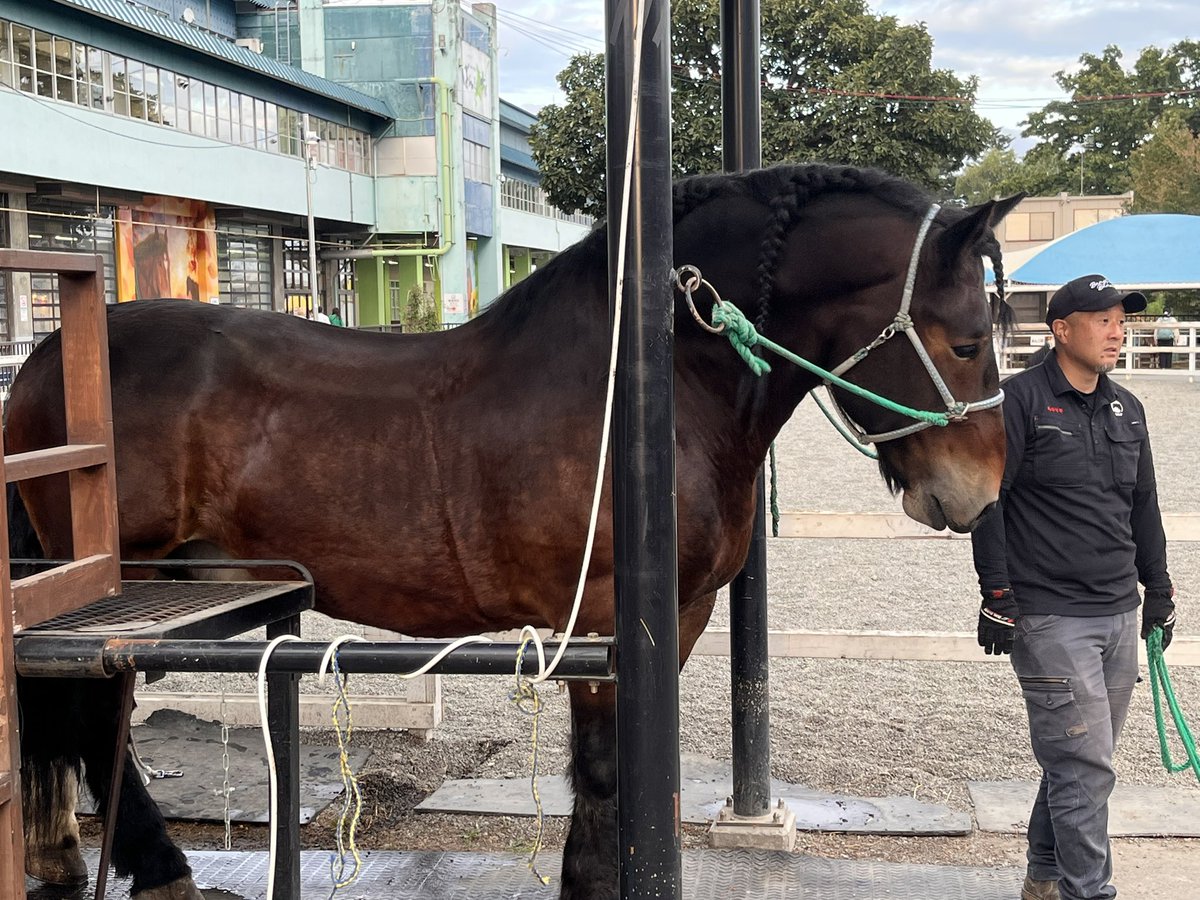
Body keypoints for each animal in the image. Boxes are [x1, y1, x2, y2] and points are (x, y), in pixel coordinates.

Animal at [6, 164, 1020, 900]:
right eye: (968, 339)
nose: (980, 494)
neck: (648, 394)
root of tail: (49, 355)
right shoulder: (608, 623)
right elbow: (608, 777)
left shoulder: (681, 618)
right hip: (119, 592)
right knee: (89, 718)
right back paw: (155, 868)